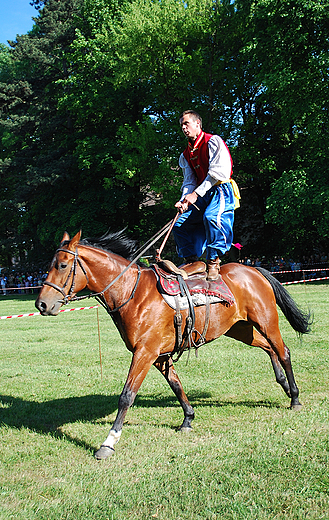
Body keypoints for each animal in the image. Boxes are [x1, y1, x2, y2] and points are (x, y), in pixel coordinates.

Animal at [36, 231, 310, 460]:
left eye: (62, 265)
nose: (41, 304)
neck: (134, 293)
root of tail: (252, 270)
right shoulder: (159, 356)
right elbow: (176, 385)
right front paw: (188, 418)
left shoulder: (145, 353)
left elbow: (126, 396)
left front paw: (109, 442)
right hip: (239, 329)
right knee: (268, 348)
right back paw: (284, 385)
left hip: (266, 321)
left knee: (283, 351)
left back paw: (295, 397)